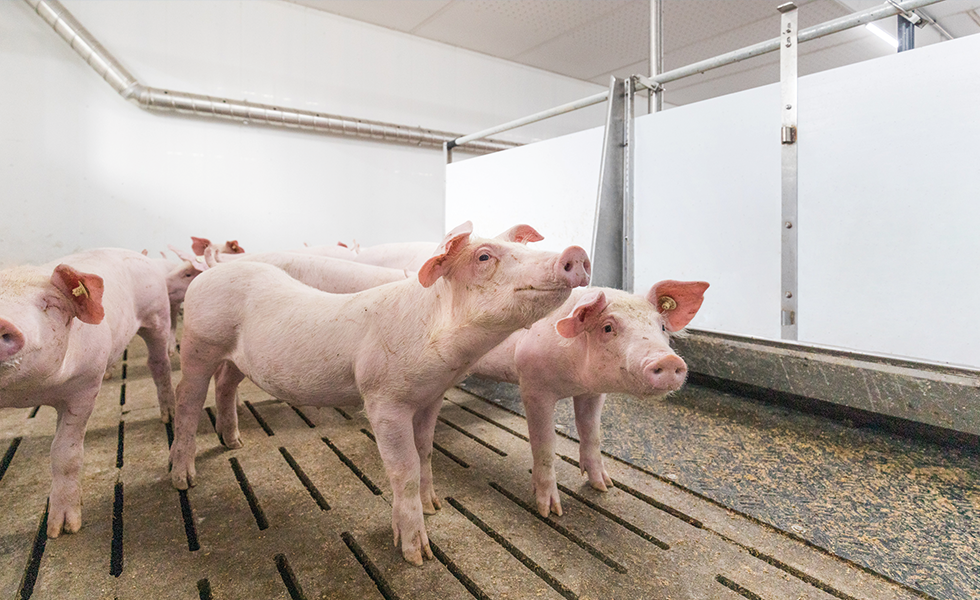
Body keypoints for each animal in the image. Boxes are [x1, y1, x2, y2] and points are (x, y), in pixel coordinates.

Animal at [1, 246, 177, 536]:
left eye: (51, 304)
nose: (2, 322)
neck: (25, 395)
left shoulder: (84, 386)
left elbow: (65, 452)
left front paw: (62, 530)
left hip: (158, 315)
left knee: (159, 364)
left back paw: (168, 415)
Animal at [168, 223, 588, 564]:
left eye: (522, 246)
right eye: (484, 256)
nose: (576, 253)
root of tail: (211, 272)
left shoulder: (431, 397)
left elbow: (426, 452)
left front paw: (434, 506)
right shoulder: (384, 399)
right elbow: (404, 468)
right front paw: (418, 554)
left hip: (238, 358)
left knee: (225, 383)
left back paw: (233, 443)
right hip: (199, 343)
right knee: (186, 399)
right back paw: (182, 479)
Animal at [470, 280, 708, 516]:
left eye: (662, 327)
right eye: (608, 327)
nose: (668, 360)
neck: (574, 381)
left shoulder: (593, 392)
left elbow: (591, 432)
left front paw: (604, 486)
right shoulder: (533, 385)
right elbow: (544, 443)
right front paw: (551, 511)